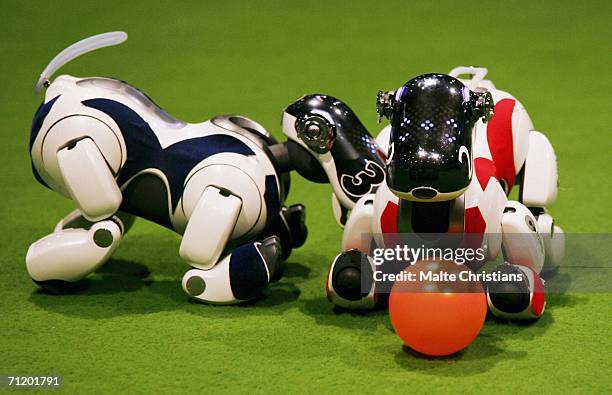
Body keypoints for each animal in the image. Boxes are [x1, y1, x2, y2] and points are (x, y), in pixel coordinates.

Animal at [314, 66, 568, 320]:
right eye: (394, 148)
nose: (424, 182)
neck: (431, 212)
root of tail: (483, 84)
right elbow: (358, 242)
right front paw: (355, 271)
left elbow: (519, 245)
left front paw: (516, 284)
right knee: (364, 206)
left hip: (531, 140)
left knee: (533, 204)